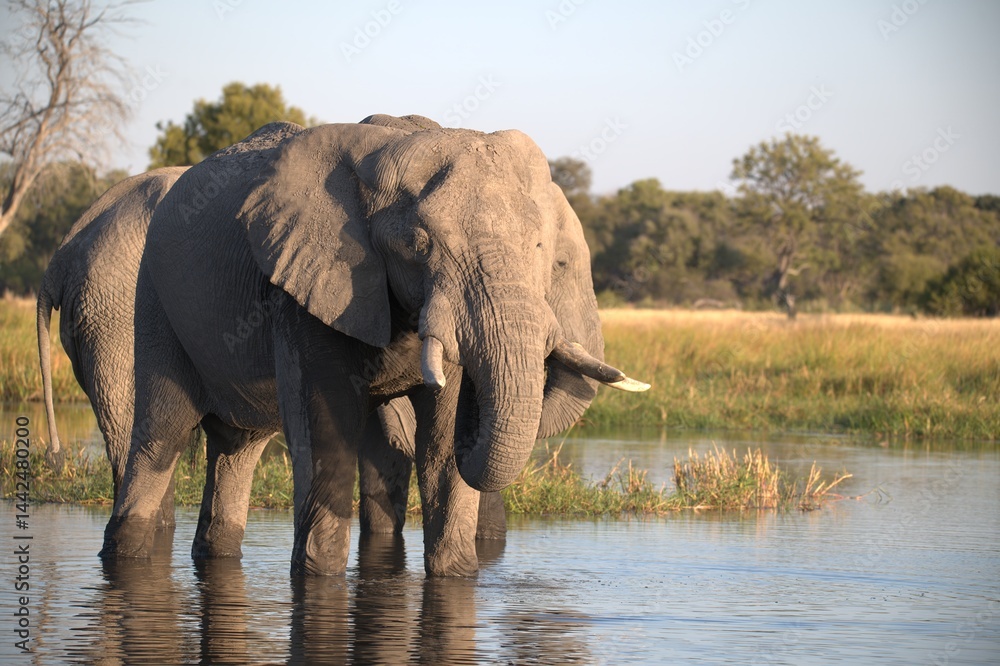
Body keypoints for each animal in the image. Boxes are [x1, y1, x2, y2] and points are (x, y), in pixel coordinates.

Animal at [102, 117, 647, 576]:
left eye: (540, 250)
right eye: (418, 245)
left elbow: (441, 446)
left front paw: (456, 575)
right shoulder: (307, 283)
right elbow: (327, 431)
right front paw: (318, 577)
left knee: (239, 445)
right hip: (154, 297)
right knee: (162, 434)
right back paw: (122, 556)